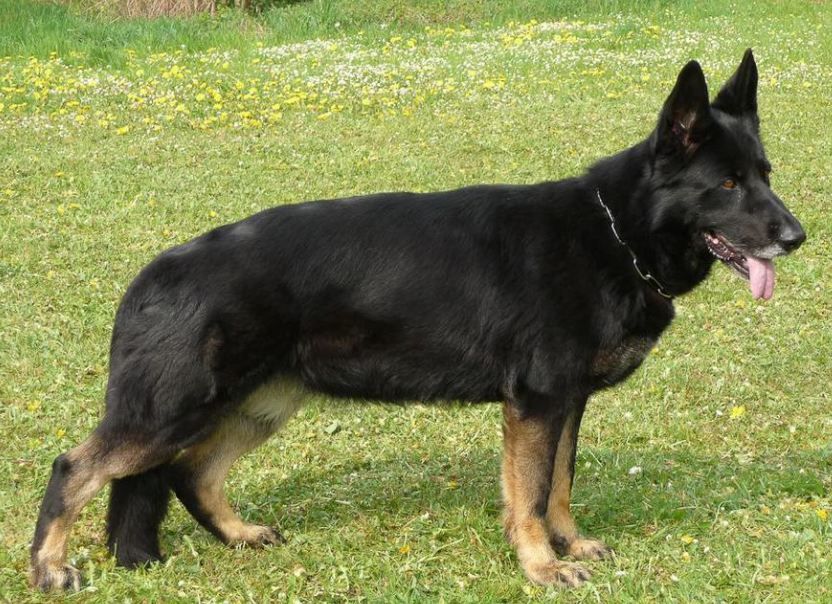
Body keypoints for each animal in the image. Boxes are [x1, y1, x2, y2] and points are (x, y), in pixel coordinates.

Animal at [30, 50, 805, 591]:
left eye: (765, 174)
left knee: (191, 475)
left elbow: (558, 484)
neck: (617, 233)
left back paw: (239, 534)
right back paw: (50, 568)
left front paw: (569, 543)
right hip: (174, 412)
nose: (797, 237)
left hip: (260, 406)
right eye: (727, 184)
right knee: (76, 467)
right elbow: (528, 495)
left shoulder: (566, 404)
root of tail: (153, 273)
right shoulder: (536, 406)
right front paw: (541, 567)